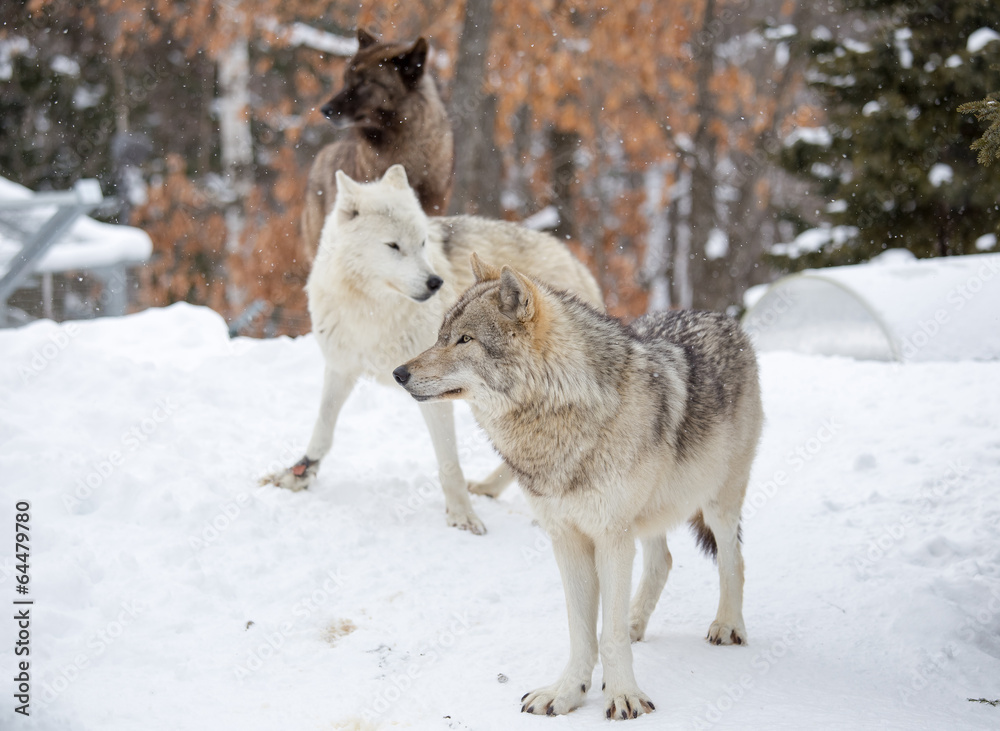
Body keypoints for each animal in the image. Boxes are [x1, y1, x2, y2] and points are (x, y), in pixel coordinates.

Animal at [262, 166, 603, 535]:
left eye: (423, 243)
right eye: (393, 246)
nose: (435, 282)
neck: (373, 312)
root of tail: (576, 262)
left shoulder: (434, 393)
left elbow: (449, 464)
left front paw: (461, 515)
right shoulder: (341, 367)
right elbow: (323, 430)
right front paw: (298, 475)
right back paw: (489, 489)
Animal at [393, 258, 763, 719]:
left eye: (465, 339)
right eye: (441, 335)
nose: (398, 373)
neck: (560, 414)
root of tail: (718, 316)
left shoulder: (610, 536)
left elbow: (608, 635)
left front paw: (623, 696)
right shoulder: (567, 538)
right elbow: (583, 630)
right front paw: (567, 692)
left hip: (716, 503)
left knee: (735, 559)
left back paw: (727, 625)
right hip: (649, 516)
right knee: (662, 562)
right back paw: (636, 622)